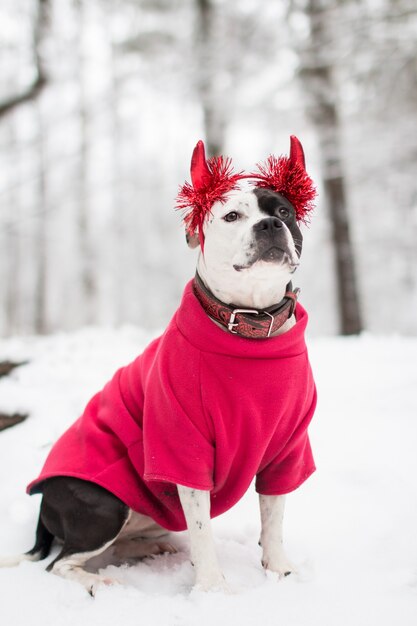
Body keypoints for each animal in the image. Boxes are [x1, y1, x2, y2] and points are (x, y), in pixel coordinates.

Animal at [0, 135, 316, 588]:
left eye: (284, 212)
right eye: (232, 216)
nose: (270, 225)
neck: (250, 326)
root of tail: (44, 502)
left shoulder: (287, 449)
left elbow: (273, 518)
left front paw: (280, 570)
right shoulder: (182, 447)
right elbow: (202, 532)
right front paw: (213, 590)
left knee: (119, 545)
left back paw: (151, 550)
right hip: (103, 505)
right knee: (59, 564)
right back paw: (99, 582)